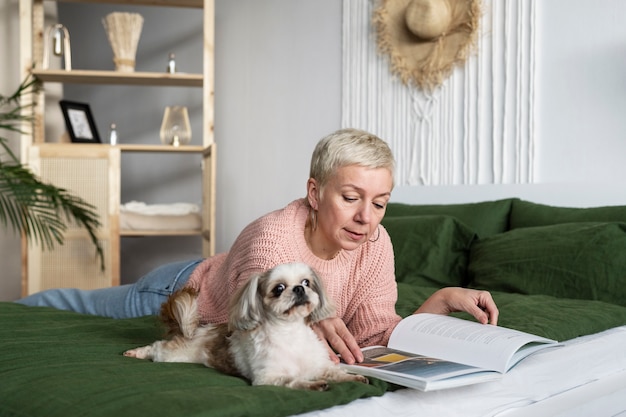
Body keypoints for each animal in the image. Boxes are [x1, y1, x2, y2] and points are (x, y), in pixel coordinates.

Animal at [123, 262, 366, 388]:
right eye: (278, 288)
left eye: (306, 282)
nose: (299, 288)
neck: (290, 333)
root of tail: (196, 330)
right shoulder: (267, 377)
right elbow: (291, 380)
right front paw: (311, 384)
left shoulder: (318, 365)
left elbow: (334, 372)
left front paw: (353, 377)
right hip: (174, 355)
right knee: (157, 348)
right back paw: (137, 352)